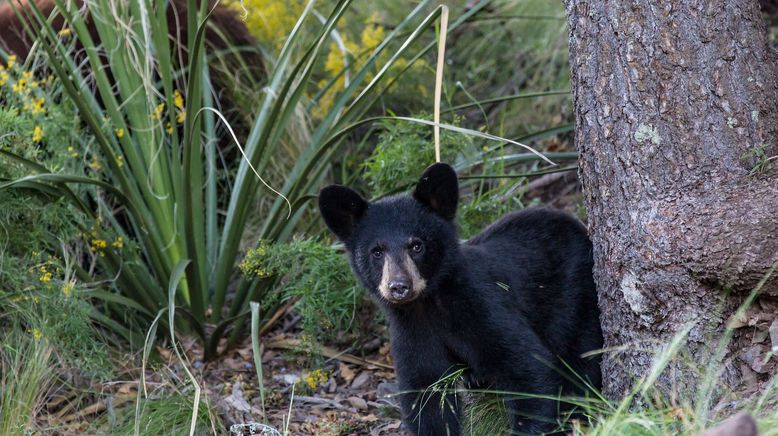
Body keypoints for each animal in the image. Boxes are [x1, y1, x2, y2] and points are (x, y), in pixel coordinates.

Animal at [316, 164, 600, 436]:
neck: (428, 305)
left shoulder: (481, 306)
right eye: (377, 251)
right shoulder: (411, 332)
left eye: (417, 245)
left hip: (578, 298)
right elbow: (427, 397)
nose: (399, 286)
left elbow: (528, 367)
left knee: (583, 360)